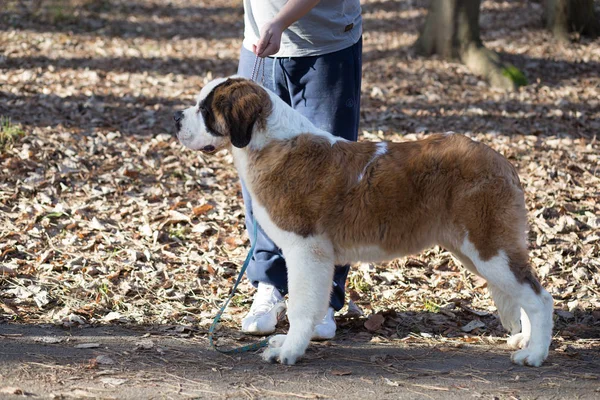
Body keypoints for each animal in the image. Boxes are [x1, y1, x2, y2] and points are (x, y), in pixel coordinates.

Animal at [173, 76, 552, 368]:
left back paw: (534, 354)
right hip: (474, 250)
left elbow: (300, 306)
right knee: (524, 290)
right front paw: (288, 343)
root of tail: (502, 161)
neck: (269, 142)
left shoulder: (305, 249)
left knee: (539, 297)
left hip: (489, 247)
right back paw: (526, 341)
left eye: (205, 110)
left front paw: (291, 350)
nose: (175, 116)